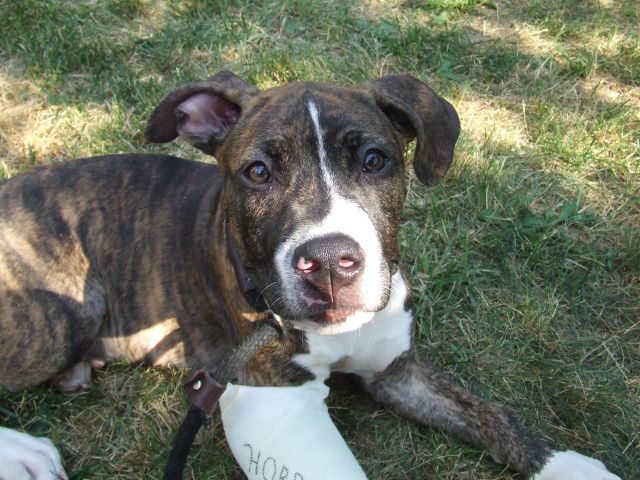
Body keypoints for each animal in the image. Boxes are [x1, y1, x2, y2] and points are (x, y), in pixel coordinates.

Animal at [0, 71, 620, 479]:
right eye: (257, 172)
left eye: (374, 160)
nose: (327, 263)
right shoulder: (271, 399)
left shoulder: (396, 370)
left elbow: (491, 414)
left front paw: (569, 467)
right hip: (60, 314)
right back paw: (24, 453)